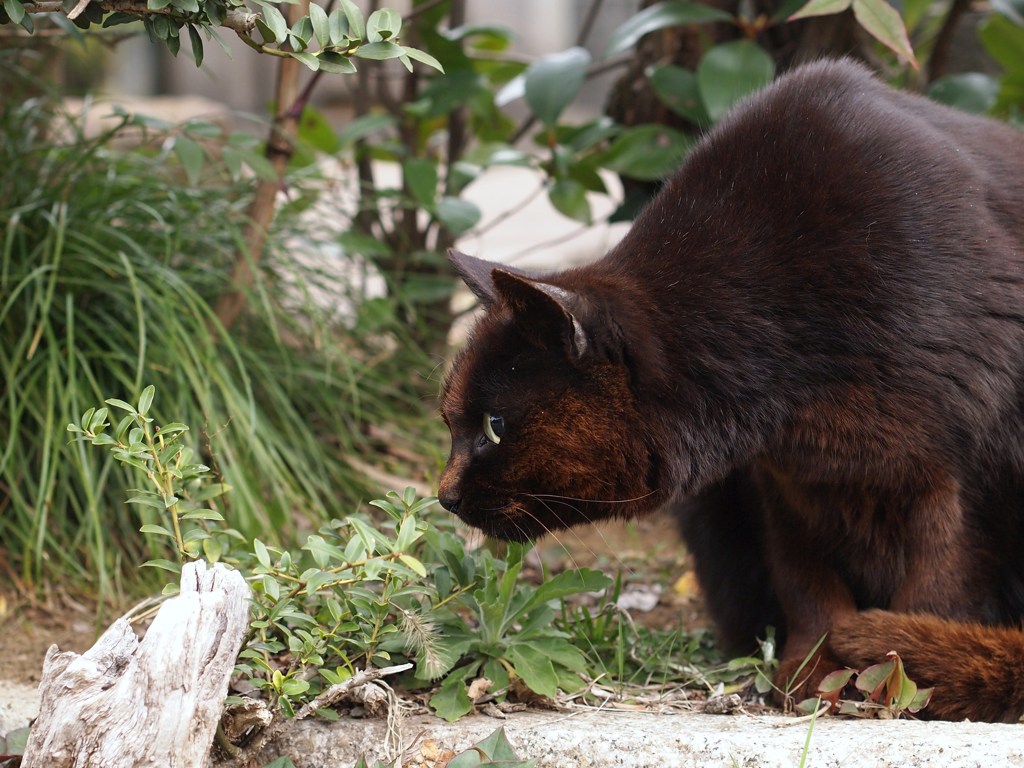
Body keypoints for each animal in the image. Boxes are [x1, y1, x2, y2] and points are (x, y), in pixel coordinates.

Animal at [436, 58, 1024, 720]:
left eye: (494, 427)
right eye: (450, 422)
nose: (444, 496)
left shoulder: (959, 481)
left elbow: (936, 589)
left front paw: (899, 682)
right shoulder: (789, 478)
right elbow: (806, 583)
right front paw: (813, 672)